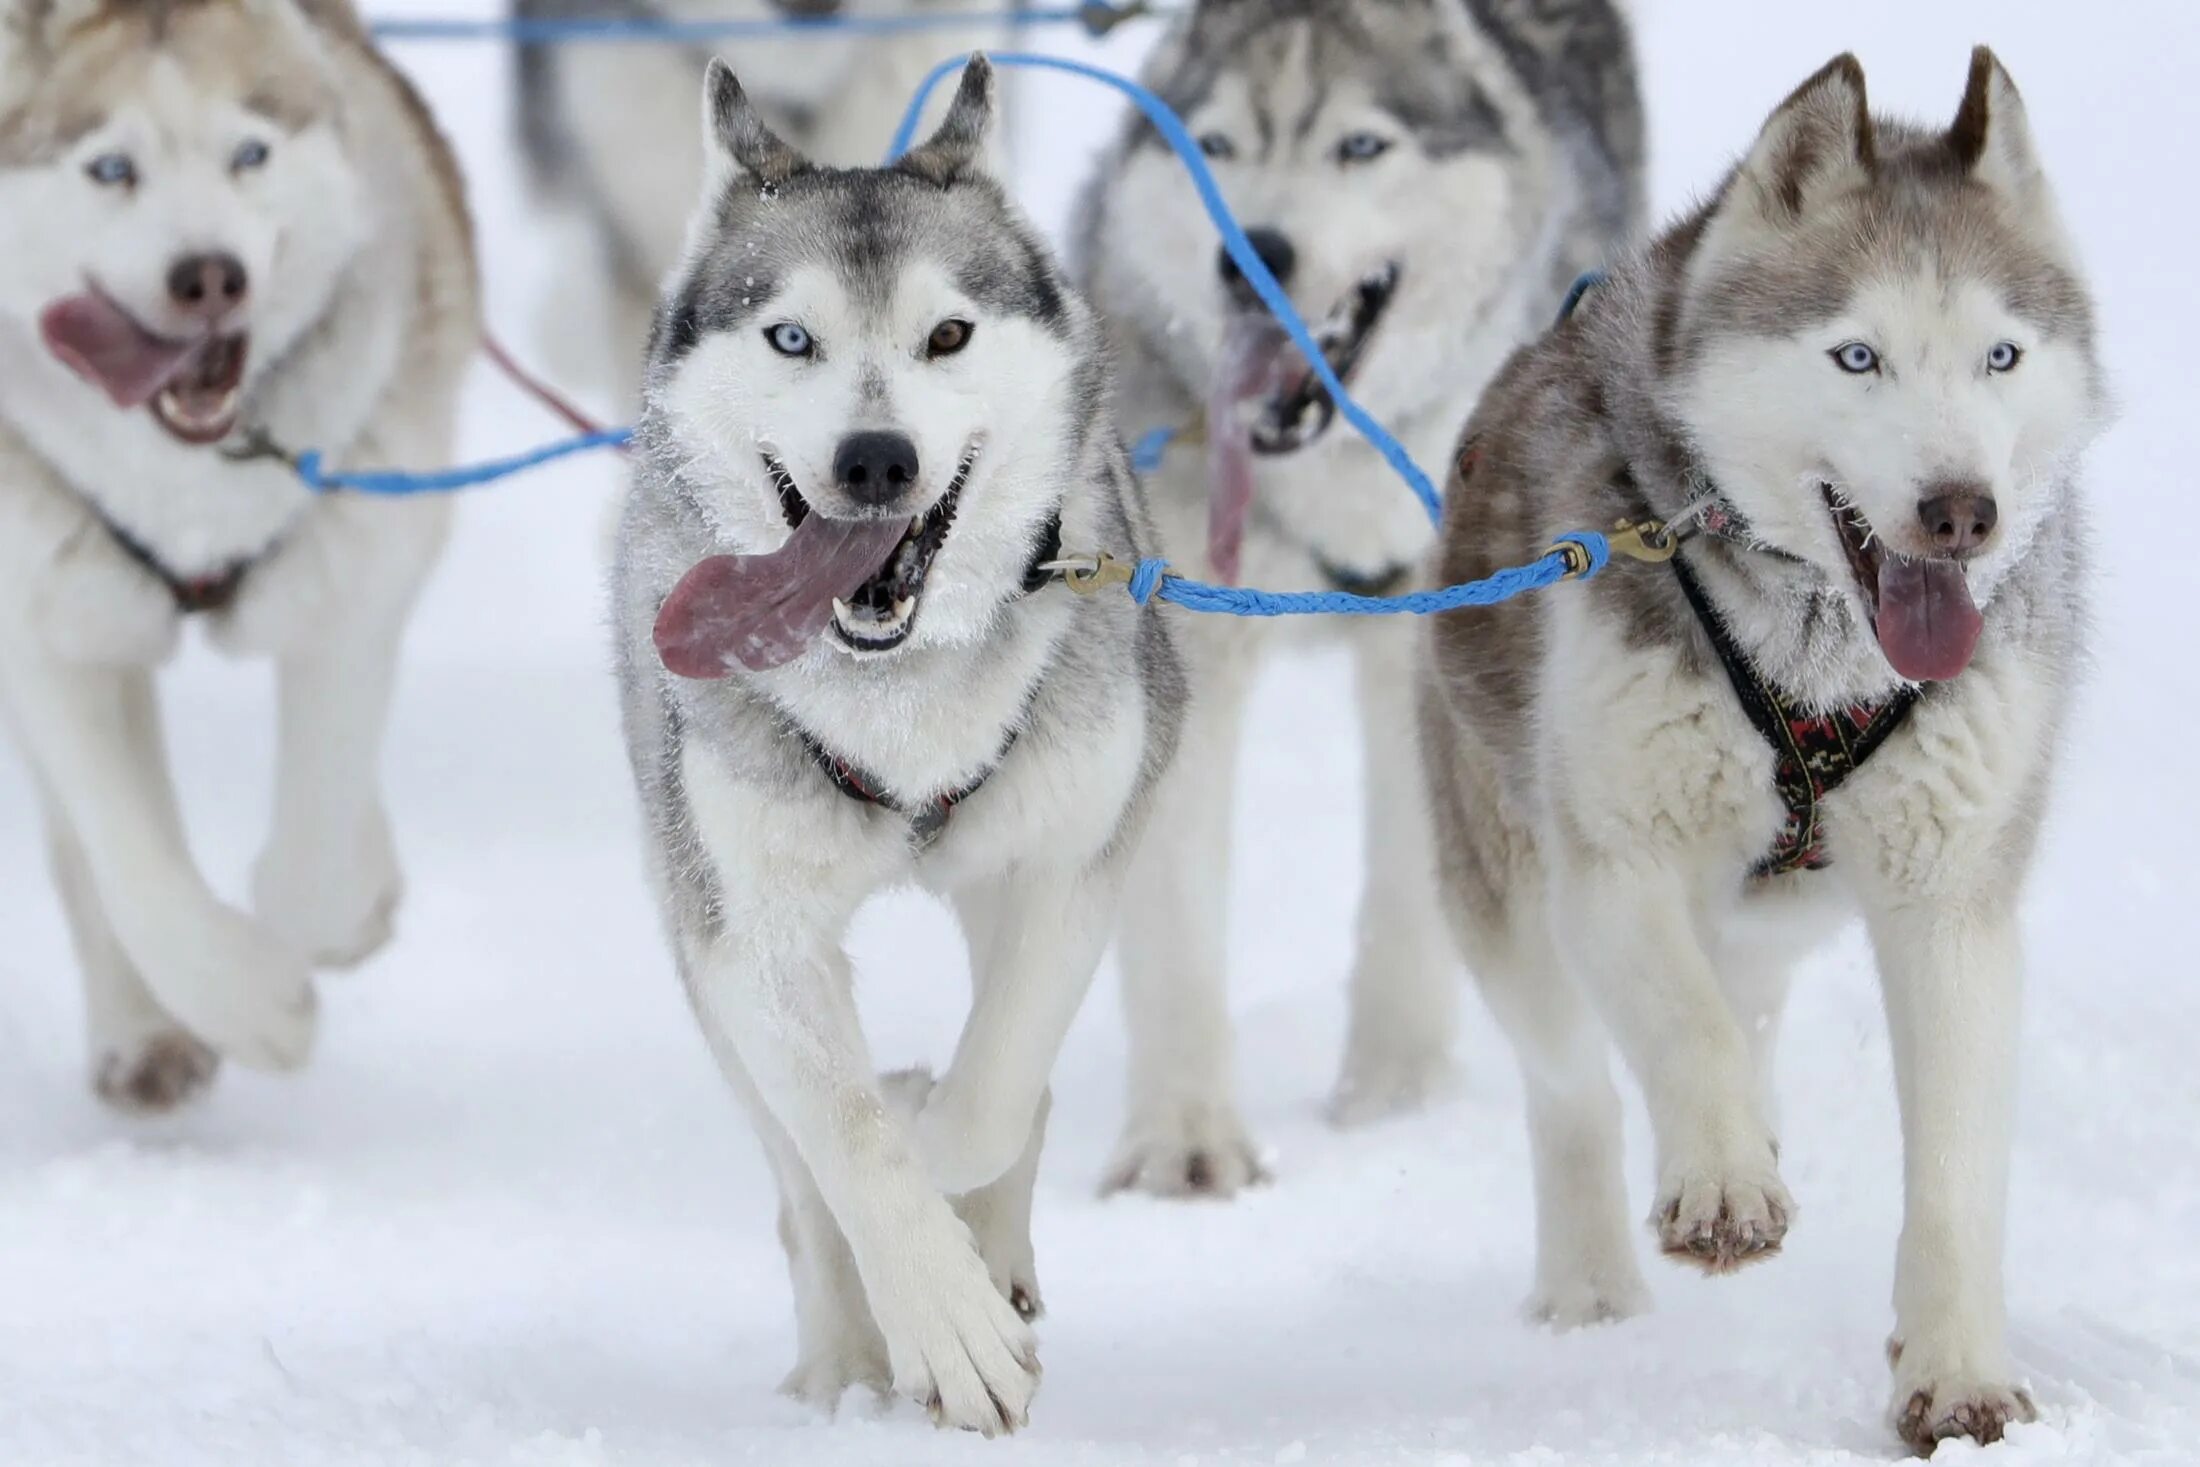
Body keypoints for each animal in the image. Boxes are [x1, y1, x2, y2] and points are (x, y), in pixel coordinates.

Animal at [0, 0, 477, 1108]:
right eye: (111, 168)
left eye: (249, 154)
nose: (209, 275)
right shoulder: (44, 623)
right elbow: (128, 860)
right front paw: (249, 1000)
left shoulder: (353, 575)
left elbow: (313, 861)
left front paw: (332, 922)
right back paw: (141, 1032)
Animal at [607, 60, 1188, 1434]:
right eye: (791, 338)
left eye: (949, 337)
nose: (876, 458)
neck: (897, 699)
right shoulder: (750, 935)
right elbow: (846, 1143)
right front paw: (939, 1315)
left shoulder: (1066, 867)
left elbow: (991, 1095)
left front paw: (951, 1185)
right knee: (795, 1180)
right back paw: (843, 1357)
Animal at [1073, 0, 1645, 1196]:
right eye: (1218, 147)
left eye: (1361, 145)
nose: (1255, 258)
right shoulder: (1185, 637)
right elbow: (1176, 912)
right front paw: (1183, 1138)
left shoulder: (1430, 642)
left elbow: (1408, 884)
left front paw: (1395, 1094)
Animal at [1416, 48, 2103, 1460]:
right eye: (1857, 356)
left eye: (2000, 355)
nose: (1962, 513)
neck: (1823, 659)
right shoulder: (1614, 862)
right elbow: (1678, 1032)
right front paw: (1723, 1184)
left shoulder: (1954, 904)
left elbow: (1952, 1170)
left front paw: (1955, 1374)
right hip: (1509, 900)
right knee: (1577, 1086)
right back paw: (1595, 1281)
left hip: (1769, 920)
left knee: (1742, 1008)